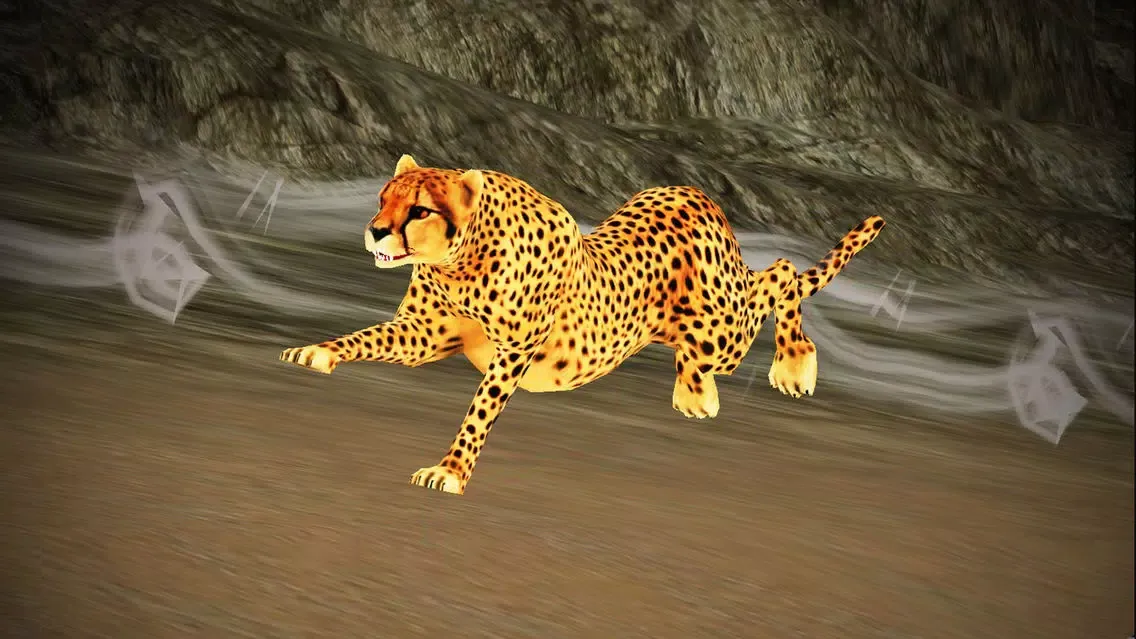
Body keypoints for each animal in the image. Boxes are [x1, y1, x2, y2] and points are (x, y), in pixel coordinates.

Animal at [280, 154, 886, 496]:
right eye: (383, 198)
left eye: (420, 210)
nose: (376, 231)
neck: (462, 260)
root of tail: (693, 191)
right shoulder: (425, 333)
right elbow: (366, 338)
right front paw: (317, 351)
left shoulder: (512, 354)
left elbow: (478, 415)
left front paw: (449, 471)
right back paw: (695, 389)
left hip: (721, 327)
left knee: (781, 273)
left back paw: (791, 365)